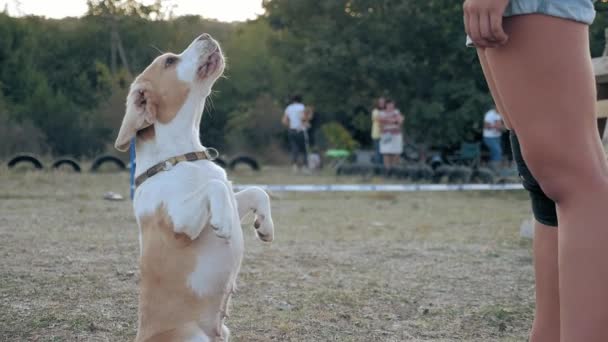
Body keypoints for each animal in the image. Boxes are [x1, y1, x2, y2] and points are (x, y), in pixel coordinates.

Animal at [114, 32, 276, 342]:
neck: (183, 157)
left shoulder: (234, 198)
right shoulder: (179, 226)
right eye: (169, 60)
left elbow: (254, 191)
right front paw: (224, 222)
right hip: (193, 336)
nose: (206, 35)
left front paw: (265, 226)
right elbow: (215, 187)